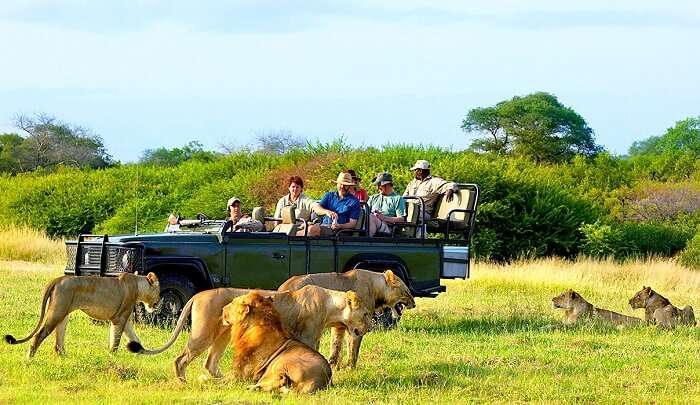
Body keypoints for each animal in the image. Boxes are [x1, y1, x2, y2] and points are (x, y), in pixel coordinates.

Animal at [3, 272, 159, 356]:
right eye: (159, 291)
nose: (158, 302)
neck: (138, 286)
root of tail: (58, 279)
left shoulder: (124, 321)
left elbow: (134, 338)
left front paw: (142, 352)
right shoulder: (119, 318)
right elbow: (116, 340)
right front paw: (112, 355)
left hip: (63, 315)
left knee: (58, 343)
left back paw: (65, 358)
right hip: (57, 312)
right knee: (39, 335)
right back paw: (29, 358)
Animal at [128, 282, 370, 380]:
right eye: (367, 314)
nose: (367, 329)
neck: (331, 306)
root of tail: (198, 294)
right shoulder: (307, 337)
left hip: (223, 335)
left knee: (210, 363)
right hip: (202, 334)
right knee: (180, 360)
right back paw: (184, 383)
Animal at [274, 268, 416, 370]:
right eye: (407, 292)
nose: (414, 304)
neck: (376, 289)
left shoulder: (340, 325)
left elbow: (336, 345)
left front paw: (333, 366)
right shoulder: (356, 326)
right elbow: (353, 349)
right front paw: (351, 368)